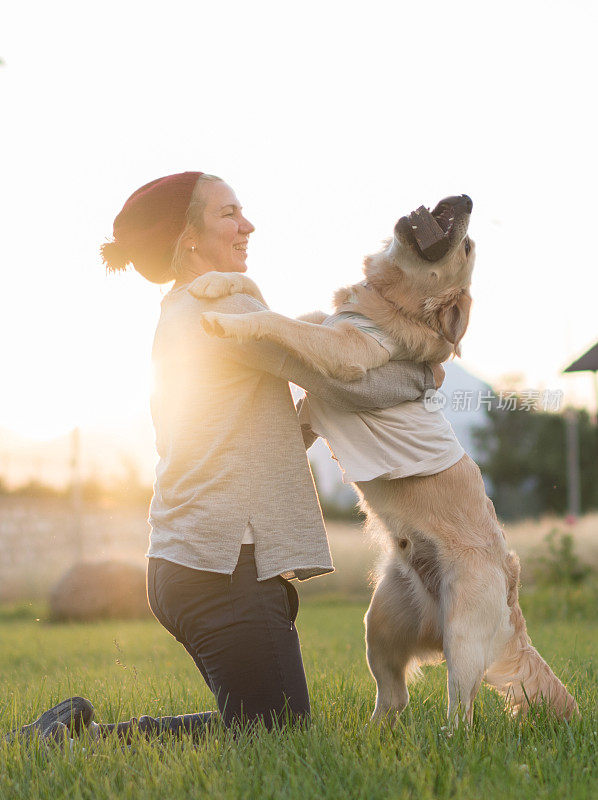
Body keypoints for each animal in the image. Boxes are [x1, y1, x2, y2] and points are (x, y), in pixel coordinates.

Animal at [189, 194, 580, 724]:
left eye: (468, 246)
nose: (465, 199)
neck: (388, 304)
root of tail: (513, 596)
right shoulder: (323, 331)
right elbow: (270, 298)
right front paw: (216, 281)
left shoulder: (345, 352)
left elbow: (276, 320)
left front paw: (230, 323)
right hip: (381, 620)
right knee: (394, 695)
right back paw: (374, 733)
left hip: (462, 628)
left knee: (462, 708)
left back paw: (446, 736)